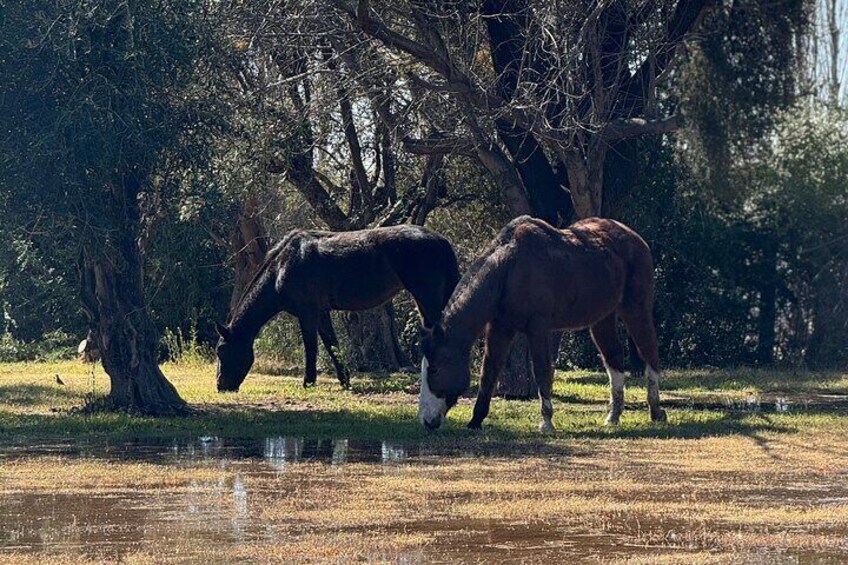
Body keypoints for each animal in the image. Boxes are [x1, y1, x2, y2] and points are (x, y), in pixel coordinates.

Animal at [215, 223, 460, 390]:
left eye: (221, 351)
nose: (221, 386)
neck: (283, 266)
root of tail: (440, 240)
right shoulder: (322, 314)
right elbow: (332, 345)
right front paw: (345, 381)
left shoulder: (307, 314)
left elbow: (311, 347)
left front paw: (308, 382)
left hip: (428, 298)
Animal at [420, 218, 664, 430]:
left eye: (434, 369)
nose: (426, 421)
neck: (509, 267)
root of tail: (635, 238)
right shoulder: (500, 329)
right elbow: (488, 373)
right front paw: (475, 421)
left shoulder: (537, 329)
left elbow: (541, 372)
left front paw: (546, 422)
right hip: (602, 319)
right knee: (614, 358)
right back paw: (613, 416)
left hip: (636, 310)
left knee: (650, 353)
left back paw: (655, 411)